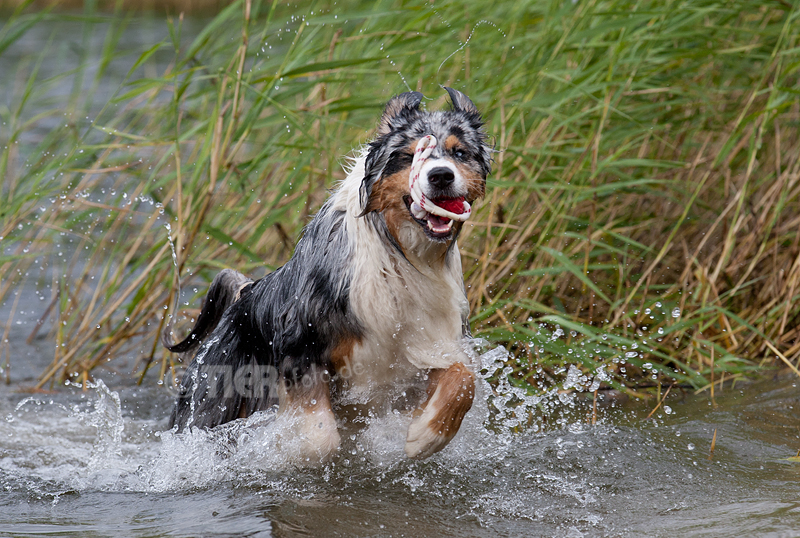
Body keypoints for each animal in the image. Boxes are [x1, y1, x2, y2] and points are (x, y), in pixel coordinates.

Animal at [164, 88, 494, 460]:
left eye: (459, 152)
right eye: (409, 156)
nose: (440, 176)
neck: (400, 256)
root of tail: (243, 295)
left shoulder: (431, 342)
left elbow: (463, 377)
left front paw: (426, 435)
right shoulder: (300, 344)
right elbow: (321, 437)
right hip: (211, 400)